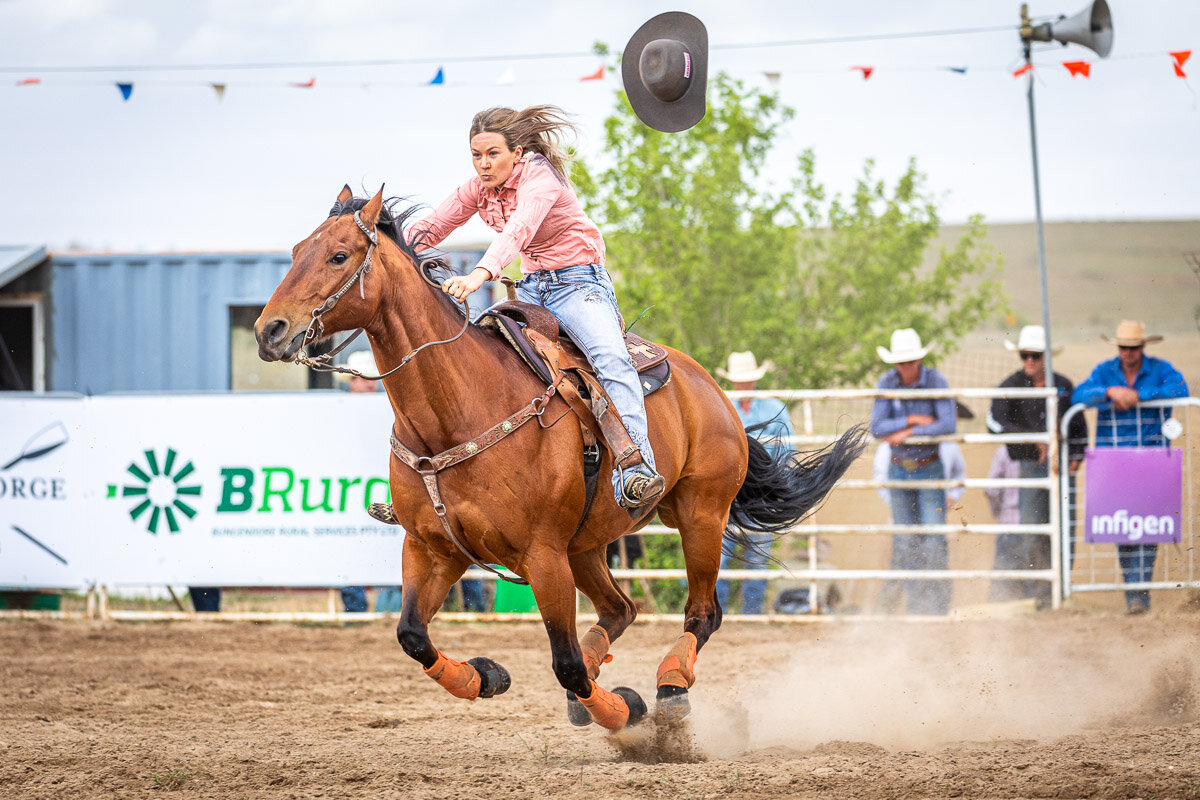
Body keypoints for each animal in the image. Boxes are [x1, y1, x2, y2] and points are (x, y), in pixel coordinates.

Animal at [255, 188, 864, 734]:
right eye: (296, 250)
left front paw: (623, 712)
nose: (269, 330)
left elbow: (565, 662)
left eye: (339, 255)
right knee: (621, 609)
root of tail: (711, 388)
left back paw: (668, 688)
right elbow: (412, 635)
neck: (460, 409)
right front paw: (485, 676)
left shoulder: (542, 554)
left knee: (701, 612)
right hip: (587, 543)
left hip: (699, 514)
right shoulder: (434, 547)